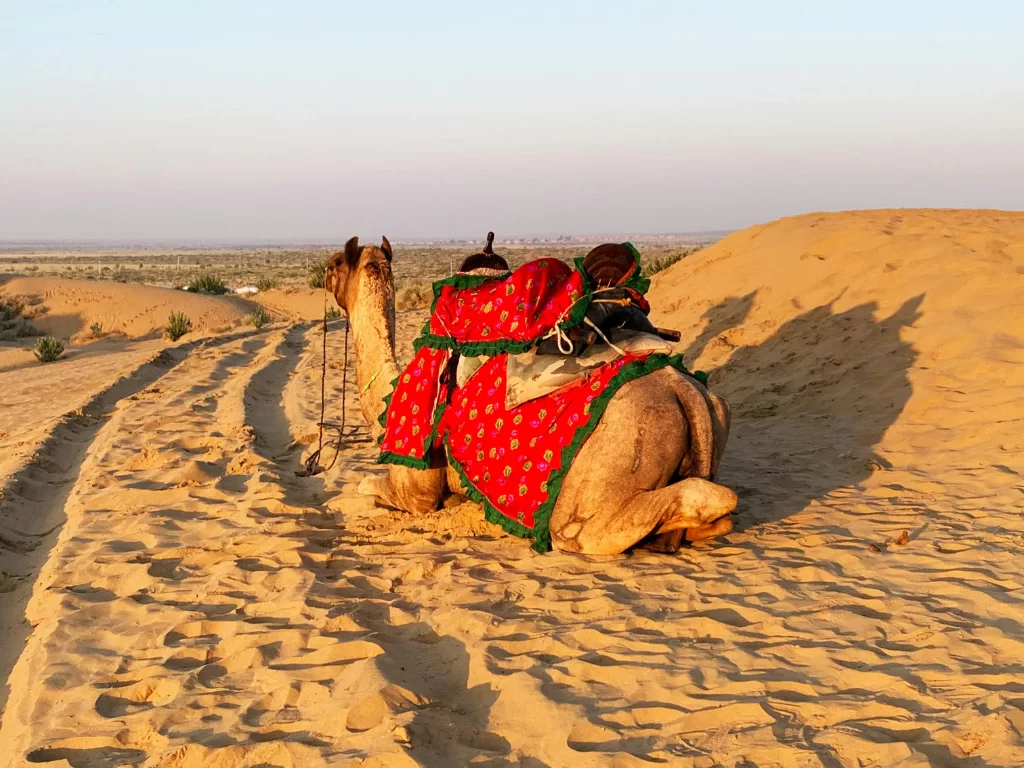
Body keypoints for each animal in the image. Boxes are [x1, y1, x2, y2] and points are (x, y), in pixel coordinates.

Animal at [326, 236, 738, 555]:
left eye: (336, 263)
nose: (326, 272)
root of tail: (682, 390)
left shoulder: (416, 482)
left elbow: (368, 487)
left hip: (598, 487)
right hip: (716, 414)